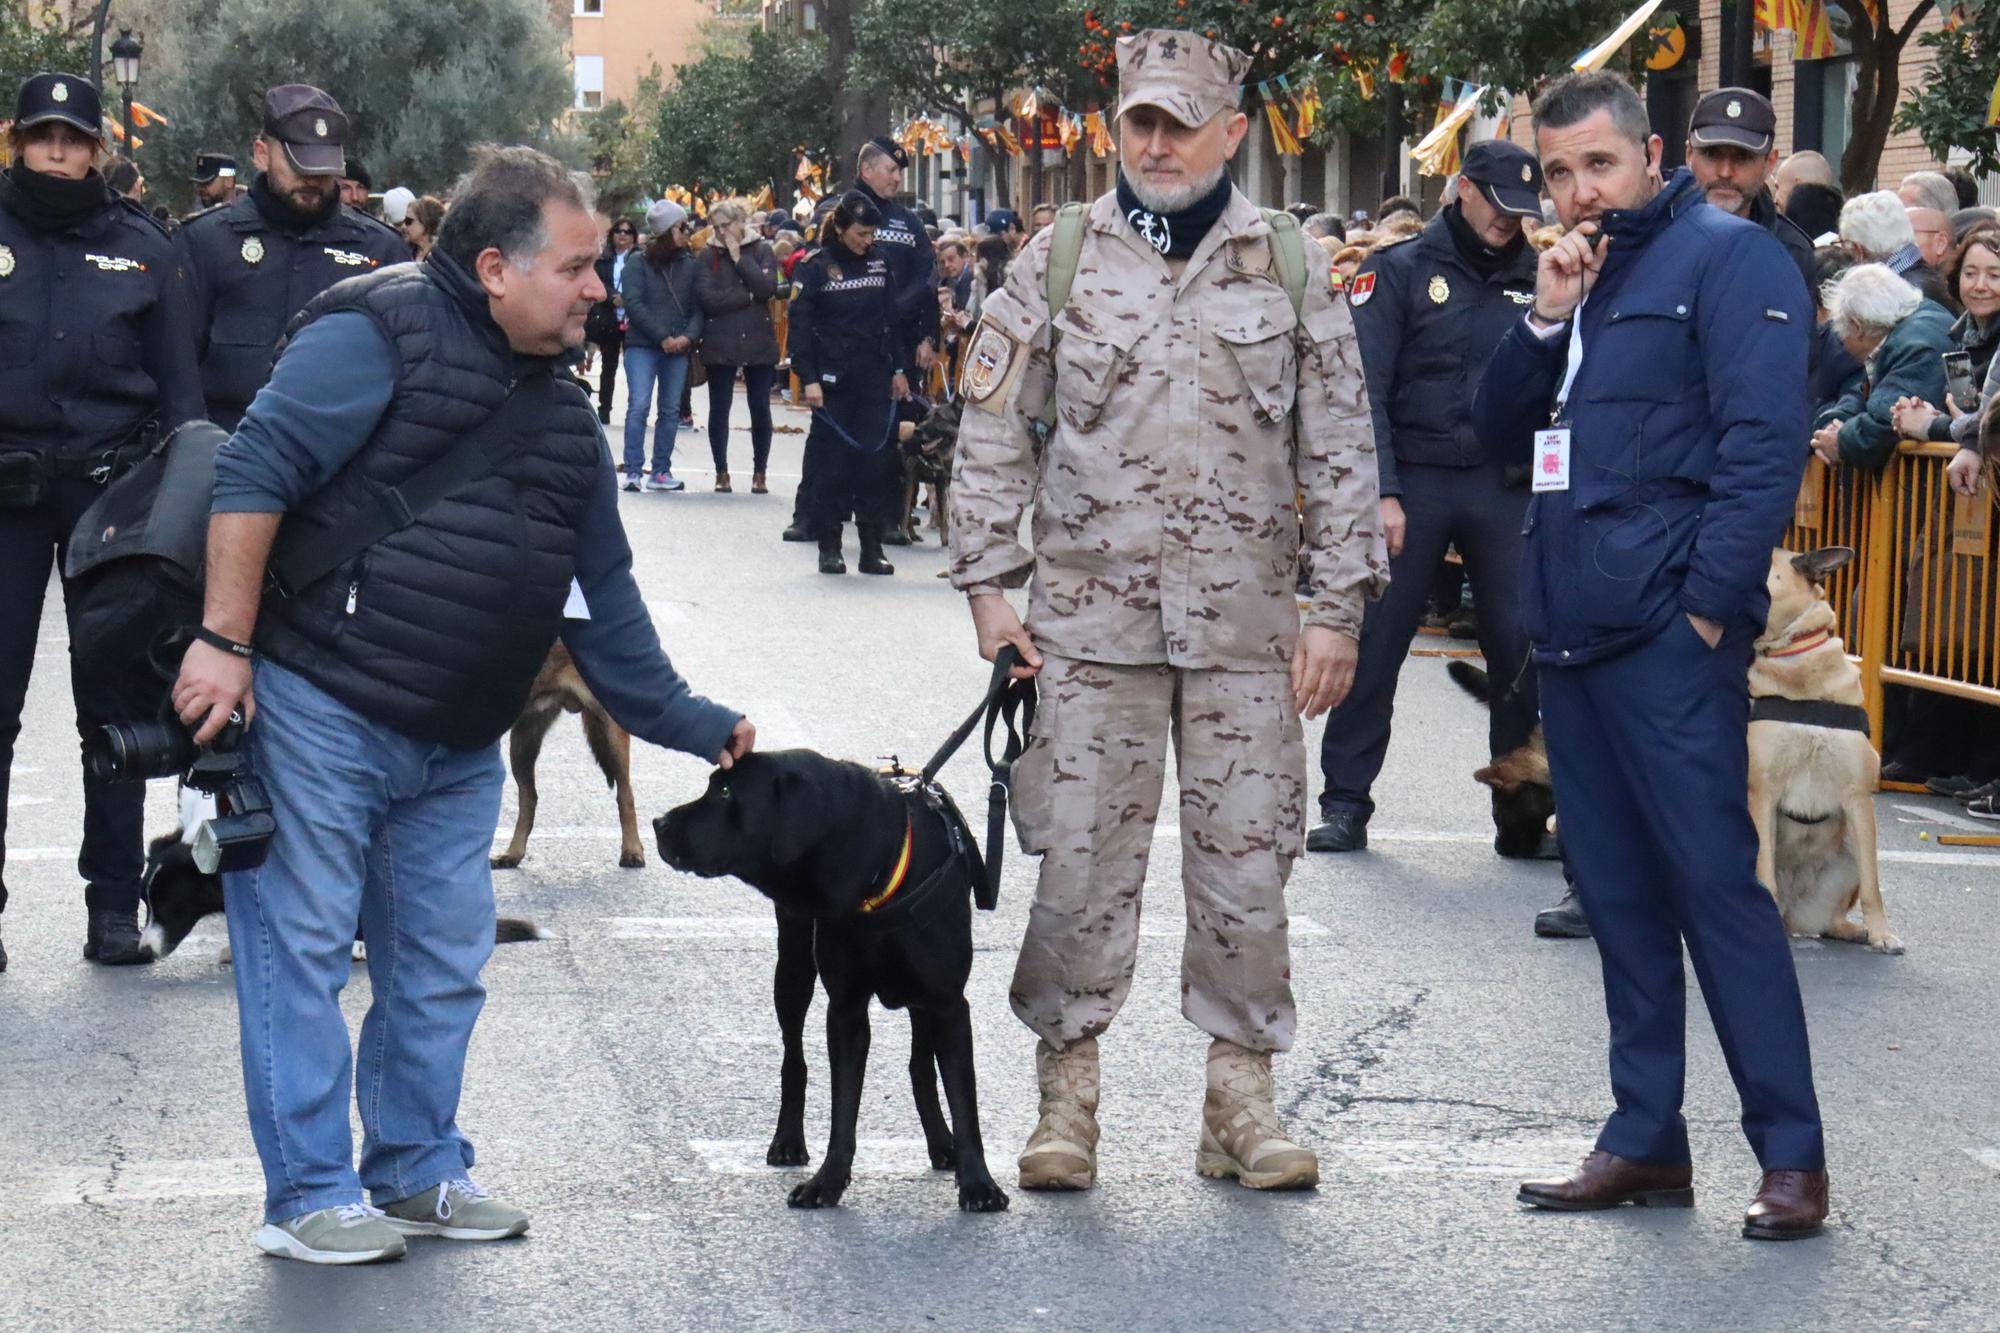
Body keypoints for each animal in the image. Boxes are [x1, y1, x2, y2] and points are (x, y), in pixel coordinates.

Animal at [656, 752, 1008, 1208]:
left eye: (726, 791)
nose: (659, 822)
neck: (877, 871)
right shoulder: (845, 1008)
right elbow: (842, 1107)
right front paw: (827, 1181)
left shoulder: (948, 1003)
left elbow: (965, 1103)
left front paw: (979, 1184)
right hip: (792, 969)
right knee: (794, 1059)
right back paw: (788, 1140)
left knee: (920, 1066)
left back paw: (941, 1143)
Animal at [1752, 544, 1904, 948]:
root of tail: (1792, 914)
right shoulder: (1762, 793)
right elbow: (1765, 873)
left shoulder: (1858, 798)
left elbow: (1873, 886)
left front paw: (1882, 932)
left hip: (1849, 852)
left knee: (1832, 919)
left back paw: (1856, 930)